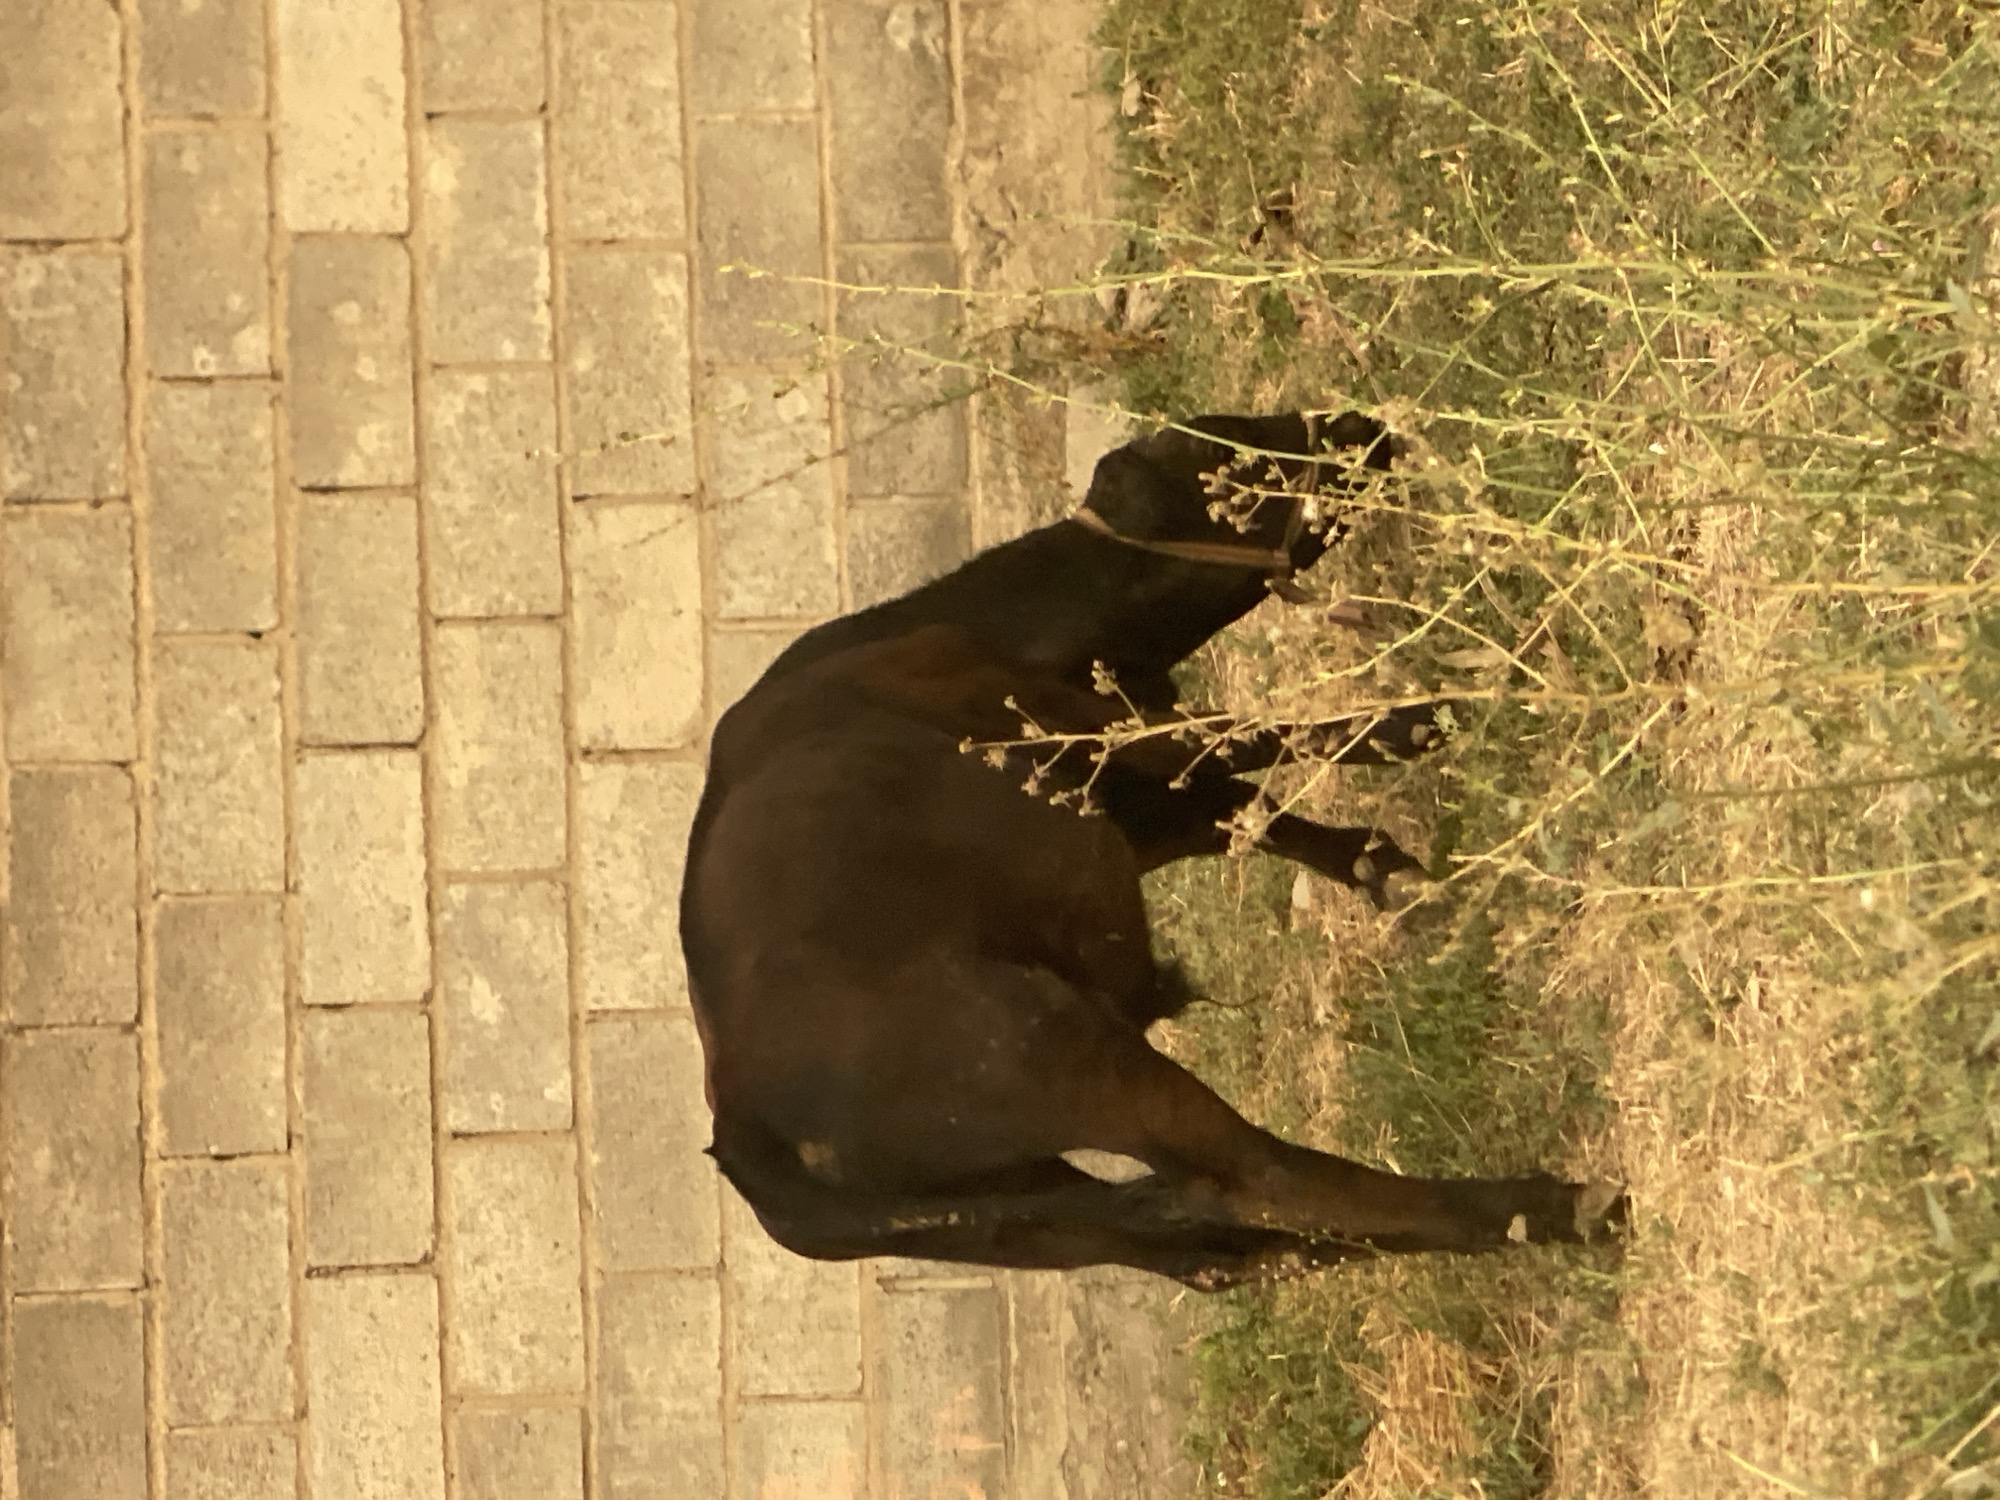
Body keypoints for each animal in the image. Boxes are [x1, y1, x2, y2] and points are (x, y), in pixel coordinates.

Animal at [680, 411, 1624, 1290]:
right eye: (1227, 450)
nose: (1358, 425)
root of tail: (745, 1133)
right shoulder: (1105, 730)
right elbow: (1262, 739)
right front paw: (1441, 714)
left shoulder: (1139, 809)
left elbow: (1252, 808)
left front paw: (1388, 870)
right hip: (1061, 1056)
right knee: (1255, 1178)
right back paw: (1549, 1206)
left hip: (1039, 1222)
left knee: (1234, 1250)